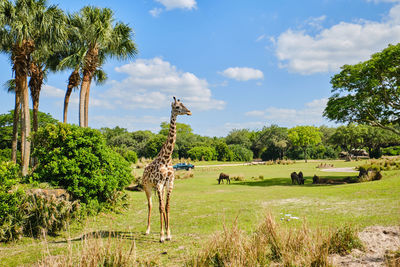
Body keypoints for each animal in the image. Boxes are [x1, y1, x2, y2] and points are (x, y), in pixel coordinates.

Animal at [141, 96, 191, 243]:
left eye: (184, 104)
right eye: (177, 107)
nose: (189, 112)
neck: (167, 158)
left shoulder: (169, 183)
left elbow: (167, 207)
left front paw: (168, 234)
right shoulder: (158, 183)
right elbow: (160, 207)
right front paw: (162, 236)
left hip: (160, 188)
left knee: (161, 205)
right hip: (147, 187)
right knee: (151, 205)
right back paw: (147, 230)